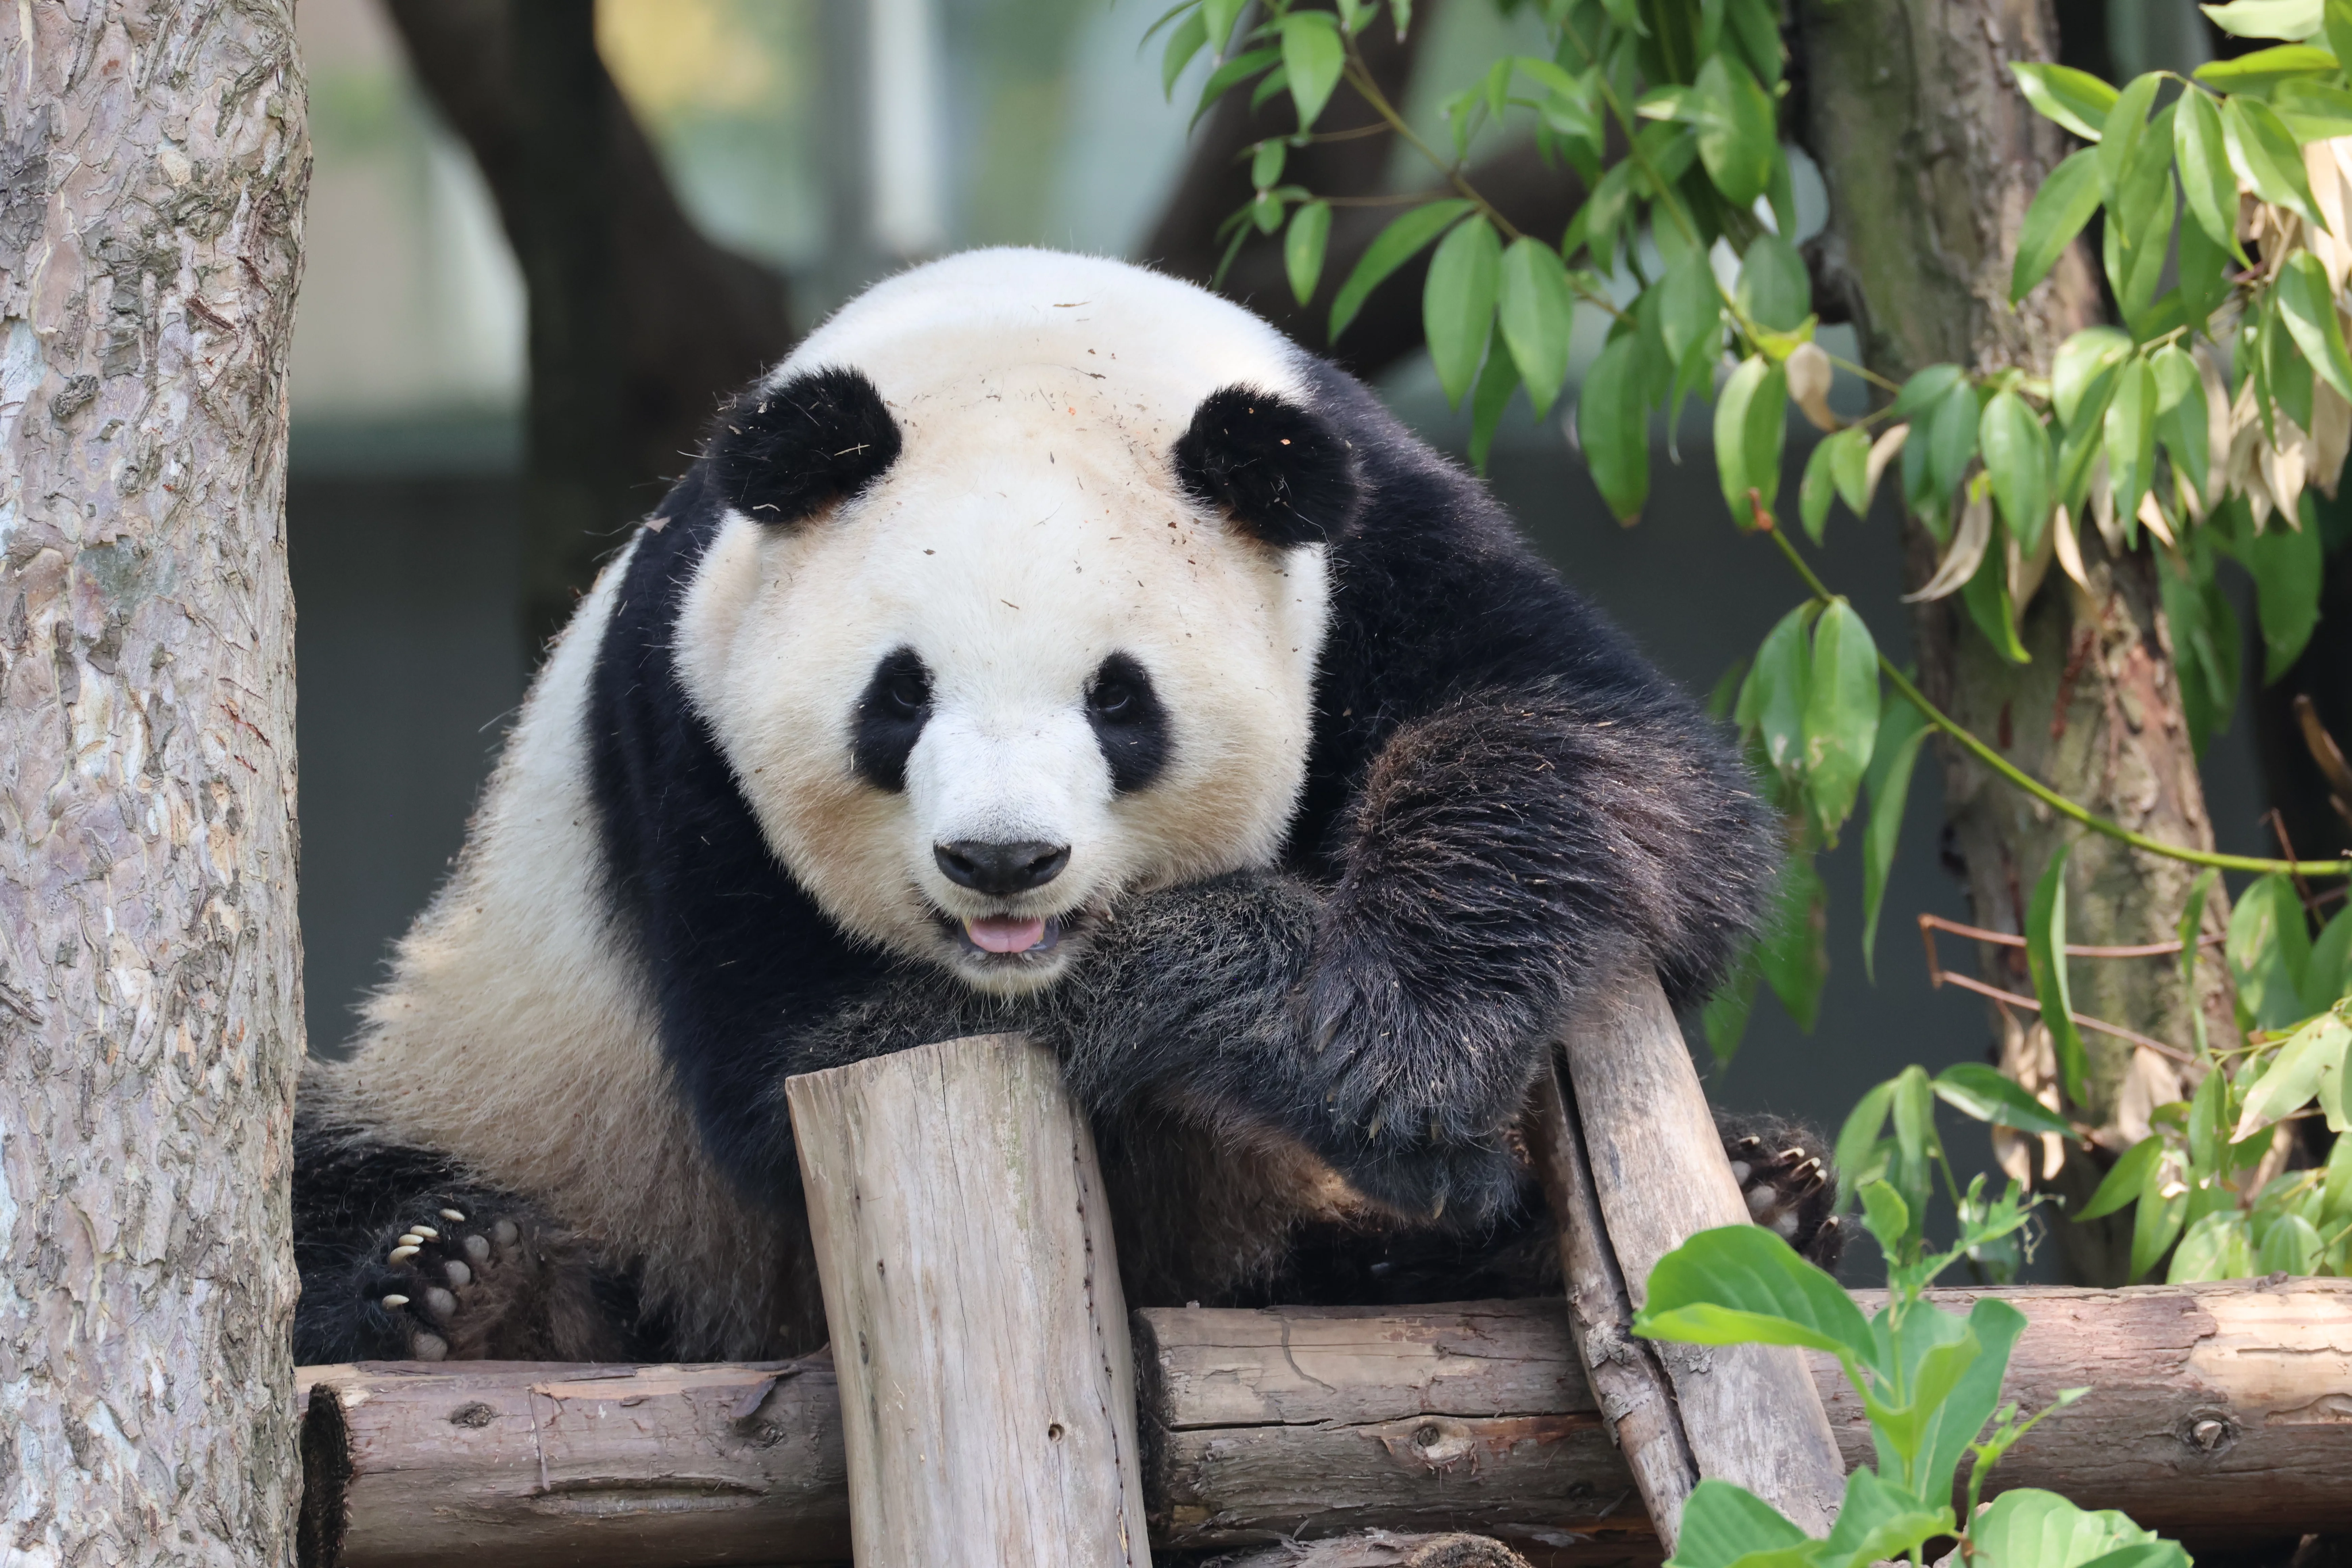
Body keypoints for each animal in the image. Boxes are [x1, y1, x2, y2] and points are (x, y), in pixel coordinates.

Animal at [293, 249, 1840, 1366]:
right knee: (329, 1166)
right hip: (522, 1095)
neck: (1021, 343)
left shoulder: (1383, 542)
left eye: (1119, 699)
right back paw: (462, 1287)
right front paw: (1220, 995)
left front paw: (1373, 1055)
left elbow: (1594, 761)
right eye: (897, 697)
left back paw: (1749, 1189)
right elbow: (799, 1056)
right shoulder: (679, 736)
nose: (1002, 860)